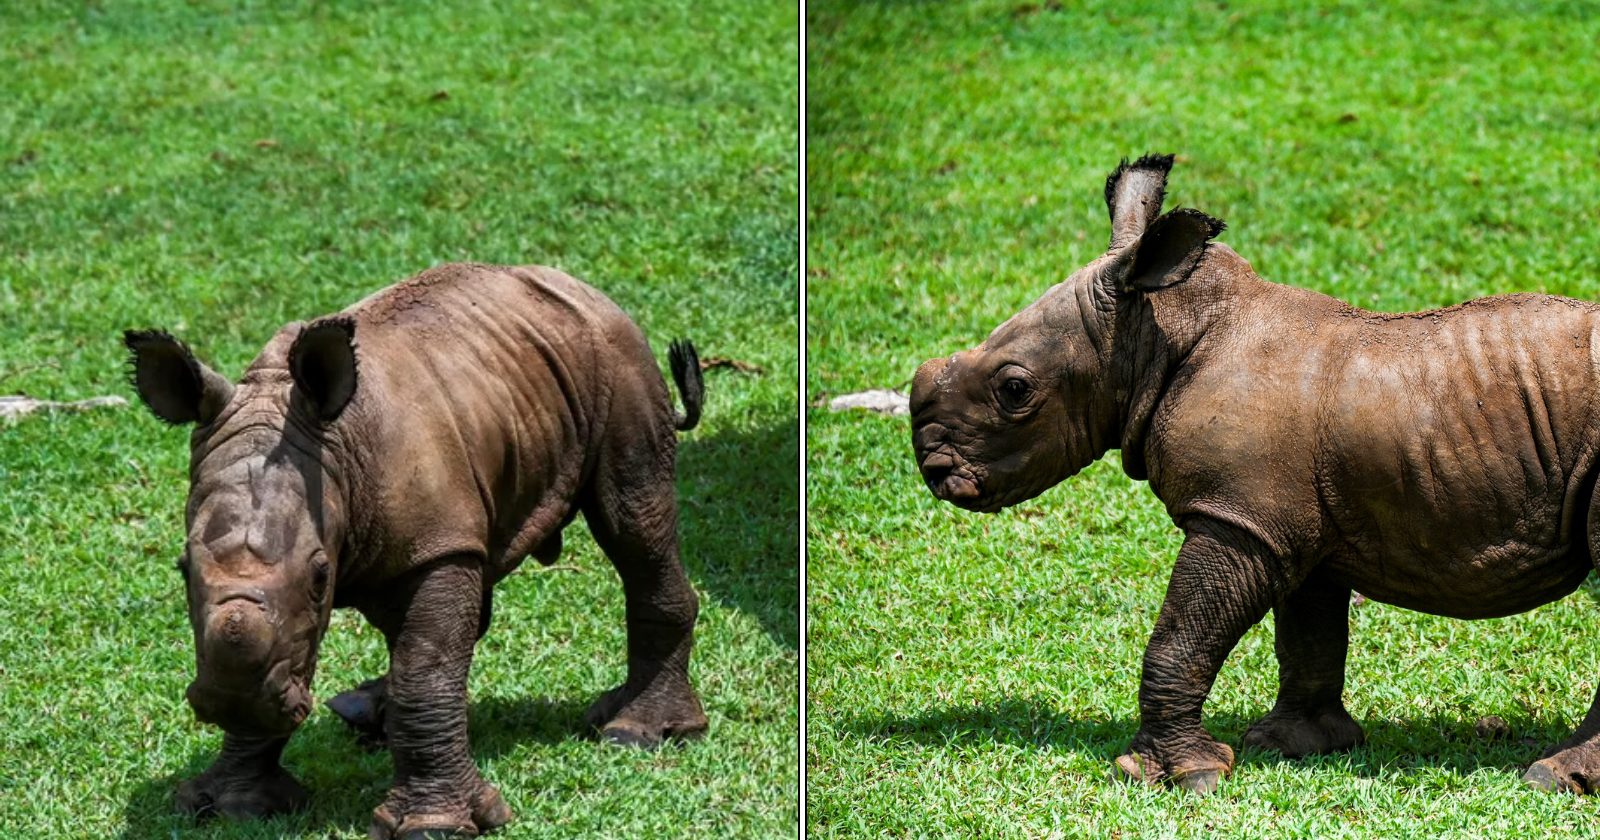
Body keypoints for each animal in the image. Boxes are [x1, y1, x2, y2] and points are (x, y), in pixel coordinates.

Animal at [134, 262, 710, 832]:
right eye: (182, 569)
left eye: (321, 577)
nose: (234, 705)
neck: (332, 452)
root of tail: (586, 290)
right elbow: (281, 637)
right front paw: (233, 803)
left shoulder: (439, 545)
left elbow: (426, 669)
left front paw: (434, 825)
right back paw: (364, 714)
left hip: (618, 365)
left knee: (632, 522)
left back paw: (634, 732)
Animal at [915, 155, 1600, 793]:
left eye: (1014, 389)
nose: (933, 467)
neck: (1159, 328)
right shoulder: (1293, 519)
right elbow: (1308, 636)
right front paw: (1295, 745)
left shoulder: (1236, 519)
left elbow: (1181, 639)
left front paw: (1177, 777)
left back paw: (1550, 777)